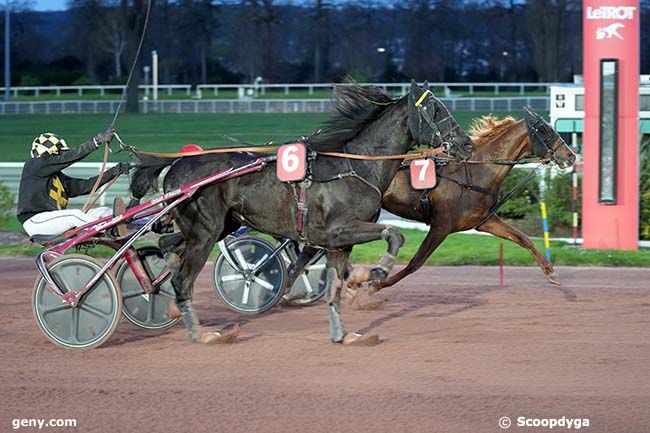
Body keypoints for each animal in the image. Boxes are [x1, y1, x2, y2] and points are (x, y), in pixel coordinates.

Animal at [368, 108, 576, 292]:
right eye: (545, 130)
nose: (571, 156)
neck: (475, 173)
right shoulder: (441, 225)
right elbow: (416, 262)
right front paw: (378, 283)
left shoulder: (483, 221)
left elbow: (523, 238)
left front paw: (551, 272)